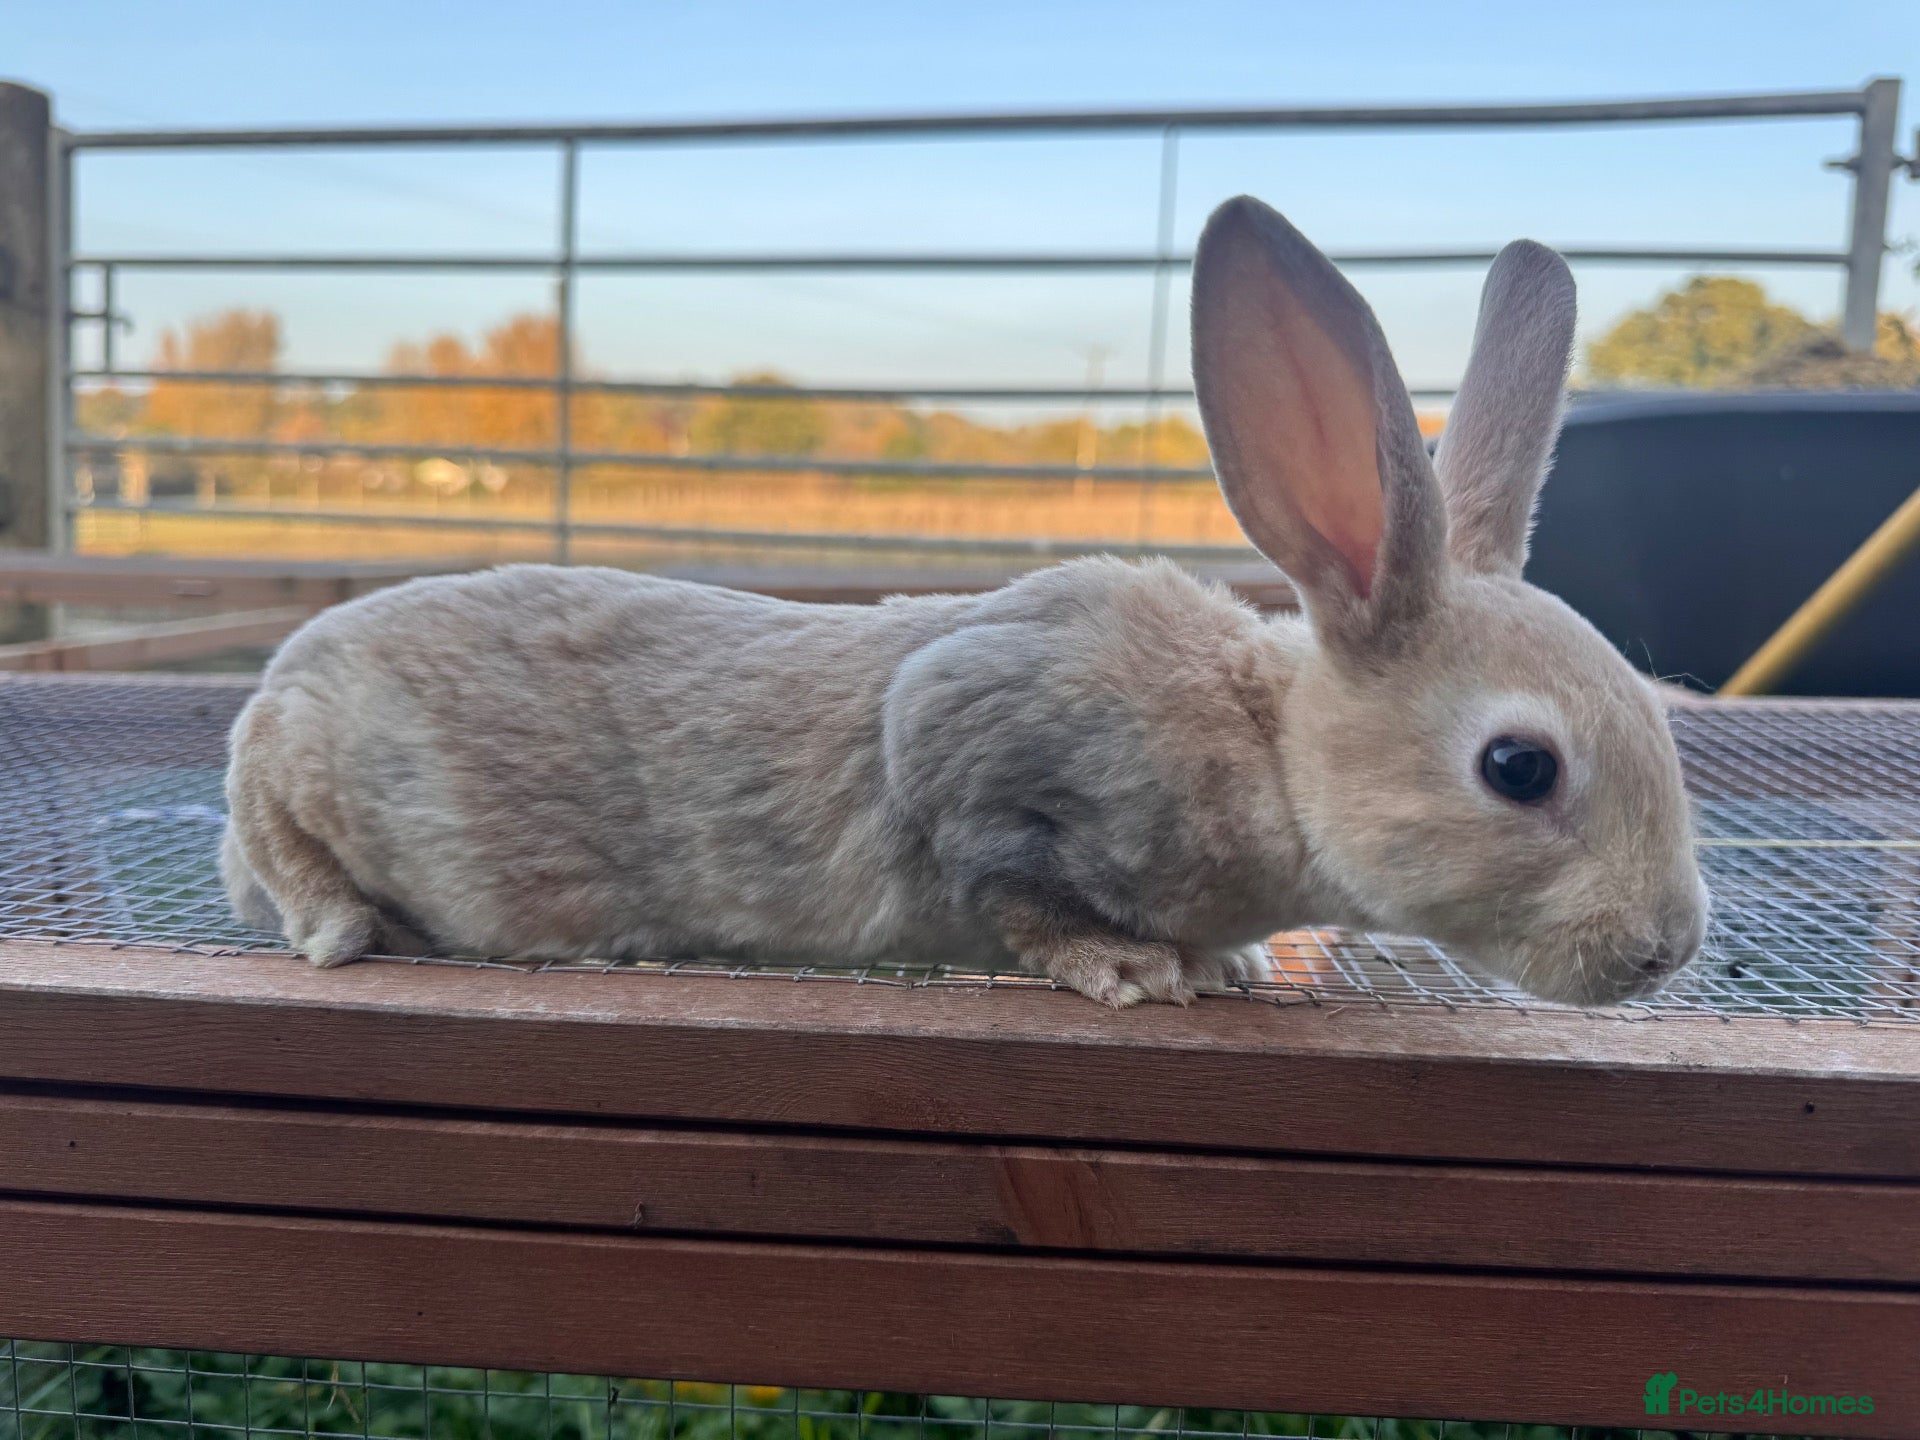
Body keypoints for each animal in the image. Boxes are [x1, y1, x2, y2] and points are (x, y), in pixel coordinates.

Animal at [222, 194, 1707, 1008]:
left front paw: (1226, 965)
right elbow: (1008, 887)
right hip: (295, 785)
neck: (1270, 751)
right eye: (1519, 768)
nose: (1663, 952)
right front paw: (1135, 974)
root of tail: (275, 692)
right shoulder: (978, 747)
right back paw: (348, 928)